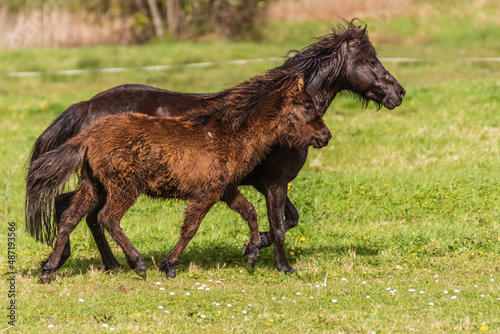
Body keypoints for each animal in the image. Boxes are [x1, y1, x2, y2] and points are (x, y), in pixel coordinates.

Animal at [25, 20, 404, 274]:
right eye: (371, 61)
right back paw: (101, 262)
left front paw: (252, 246)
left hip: (96, 181)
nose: (397, 93)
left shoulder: (258, 184)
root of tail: (88, 107)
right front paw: (280, 265)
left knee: (74, 209)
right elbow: (280, 225)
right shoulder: (274, 183)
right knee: (89, 214)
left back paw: (88, 262)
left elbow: (287, 220)